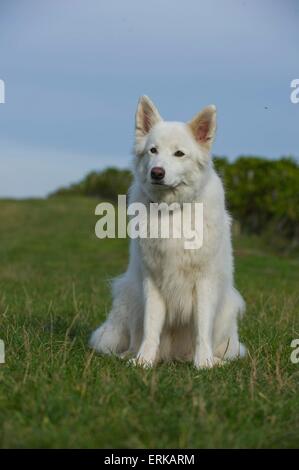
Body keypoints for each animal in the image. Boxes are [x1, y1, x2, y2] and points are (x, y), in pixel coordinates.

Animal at [90, 95, 247, 368]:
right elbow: (151, 327)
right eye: (153, 151)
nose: (157, 172)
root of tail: (174, 355)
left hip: (228, 305)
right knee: (134, 337)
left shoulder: (204, 282)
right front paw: (144, 361)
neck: (172, 211)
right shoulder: (152, 281)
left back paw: (214, 360)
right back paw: (132, 355)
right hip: (130, 294)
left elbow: (202, 328)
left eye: (179, 154)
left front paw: (203, 364)